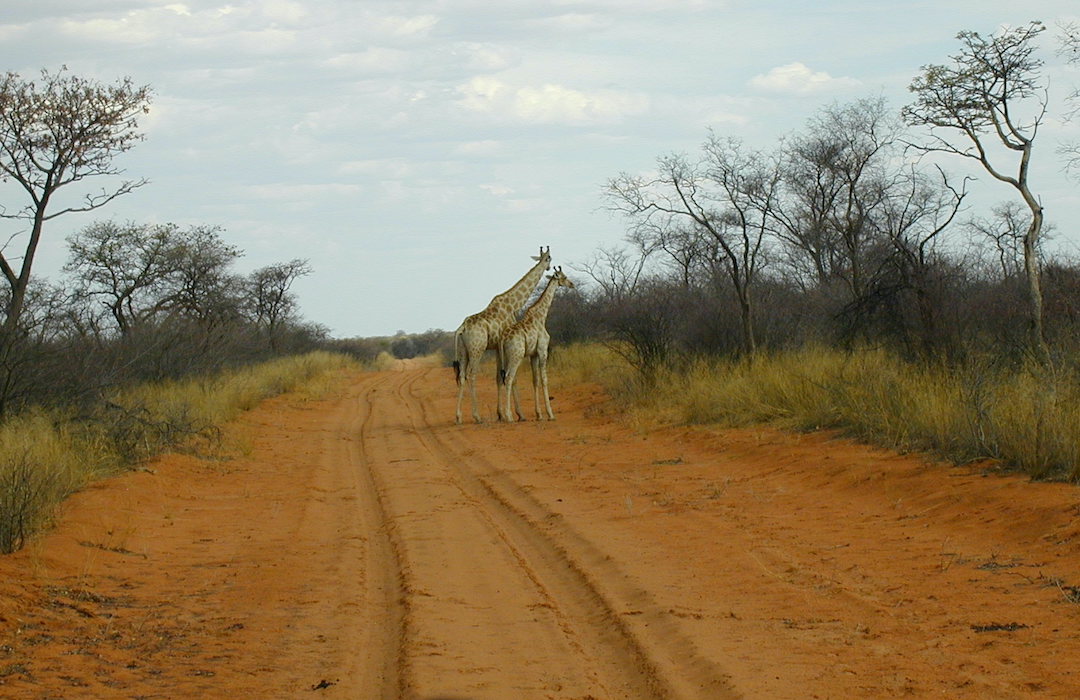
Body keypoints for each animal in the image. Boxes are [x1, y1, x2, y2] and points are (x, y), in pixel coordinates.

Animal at [494, 265, 574, 421]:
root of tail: (503, 338)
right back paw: (509, 416)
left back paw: (504, 415)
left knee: (502, 377)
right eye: (564, 276)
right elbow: (544, 379)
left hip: (503, 357)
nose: (572, 284)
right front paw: (550, 414)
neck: (541, 316)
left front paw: (539, 415)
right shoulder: (543, 351)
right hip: (516, 355)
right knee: (509, 377)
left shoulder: (533, 354)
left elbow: (535, 380)